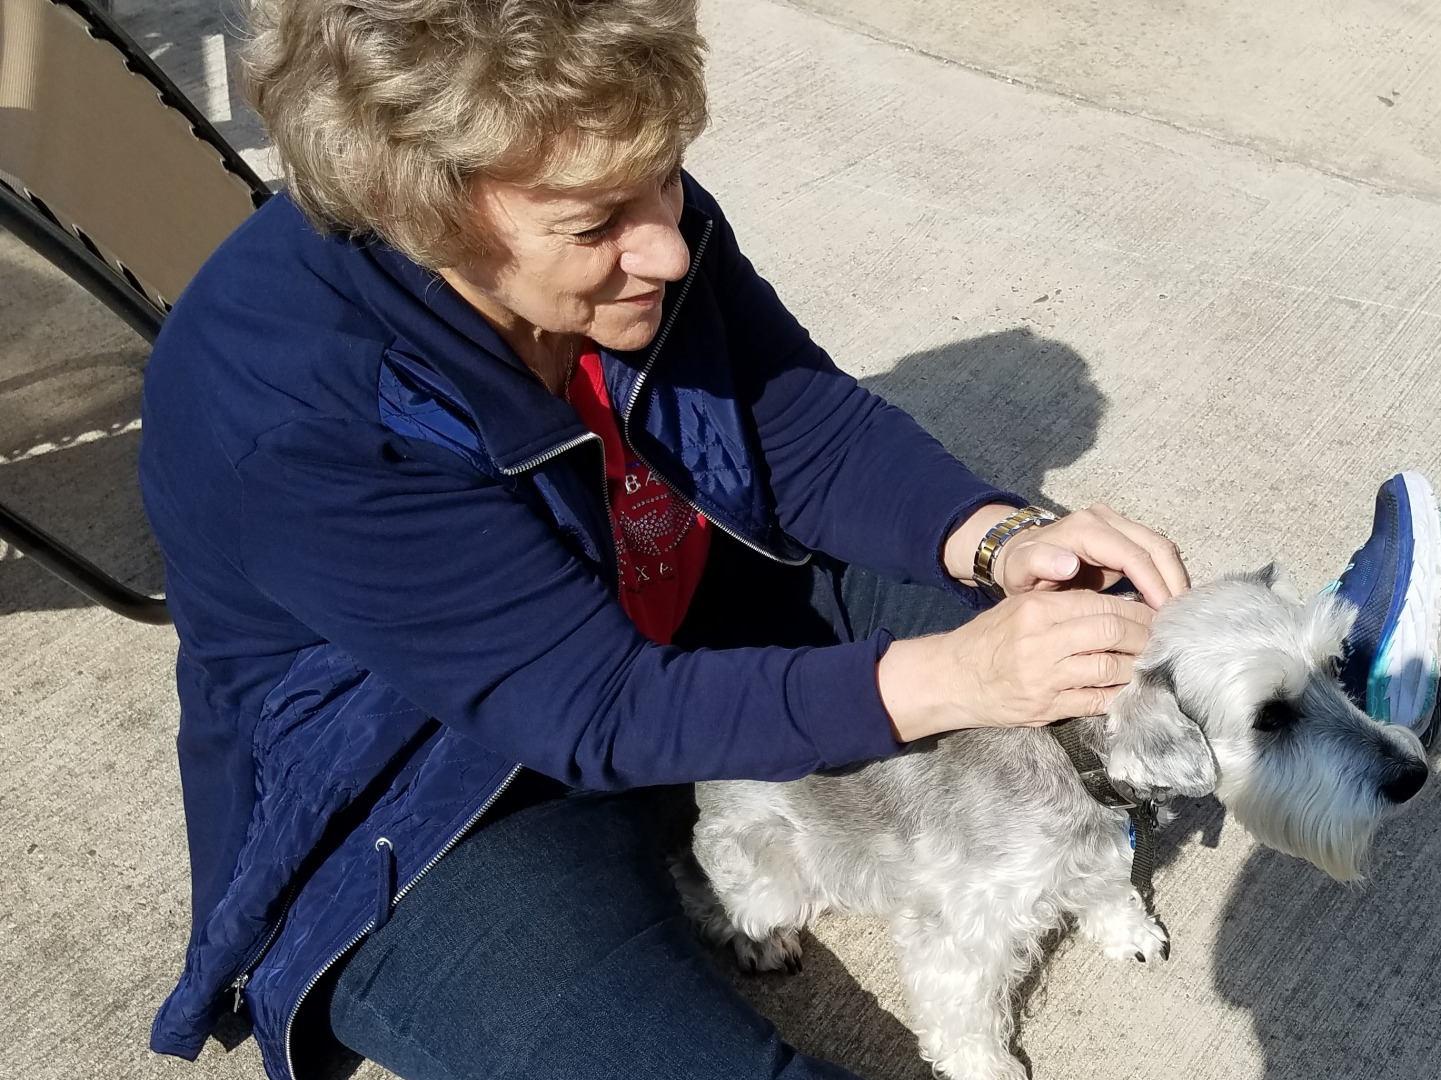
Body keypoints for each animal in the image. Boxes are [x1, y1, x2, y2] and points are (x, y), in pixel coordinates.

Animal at [678, 565, 1431, 1080]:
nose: (1413, 775)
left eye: (1334, 666)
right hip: (769, 875)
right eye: (1270, 716)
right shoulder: (957, 933)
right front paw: (987, 1068)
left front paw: (1128, 931)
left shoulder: (1099, 851)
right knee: (697, 885)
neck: (1072, 756)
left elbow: (1108, 890)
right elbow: (962, 1013)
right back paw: (758, 939)